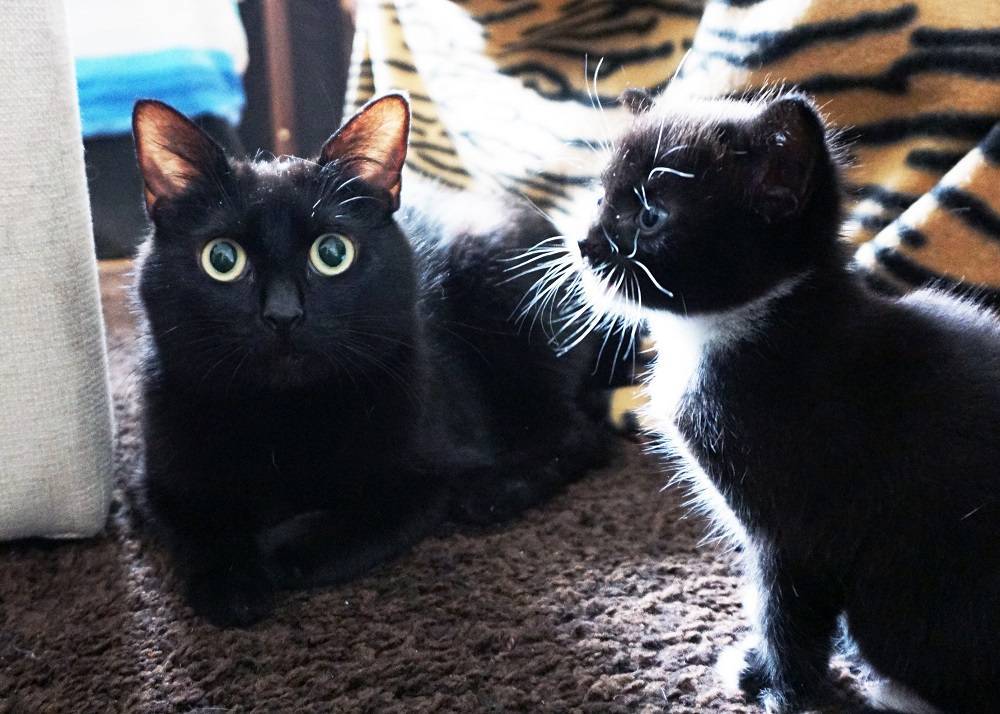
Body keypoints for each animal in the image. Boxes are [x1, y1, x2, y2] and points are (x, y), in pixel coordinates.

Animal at [131, 94, 613, 627]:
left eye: (332, 252)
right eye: (221, 259)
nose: (283, 314)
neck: (284, 416)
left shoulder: (424, 478)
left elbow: (359, 521)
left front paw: (274, 552)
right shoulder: (157, 484)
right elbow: (198, 526)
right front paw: (231, 582)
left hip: (497, 283)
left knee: (584, 436)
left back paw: (493, 492)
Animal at [544, 88, 1000, 712]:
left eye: (651, 215)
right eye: (601, 195)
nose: (585, 242)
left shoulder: (801, 526)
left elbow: (784, 610)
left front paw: (782, 690)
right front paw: (765, 673)